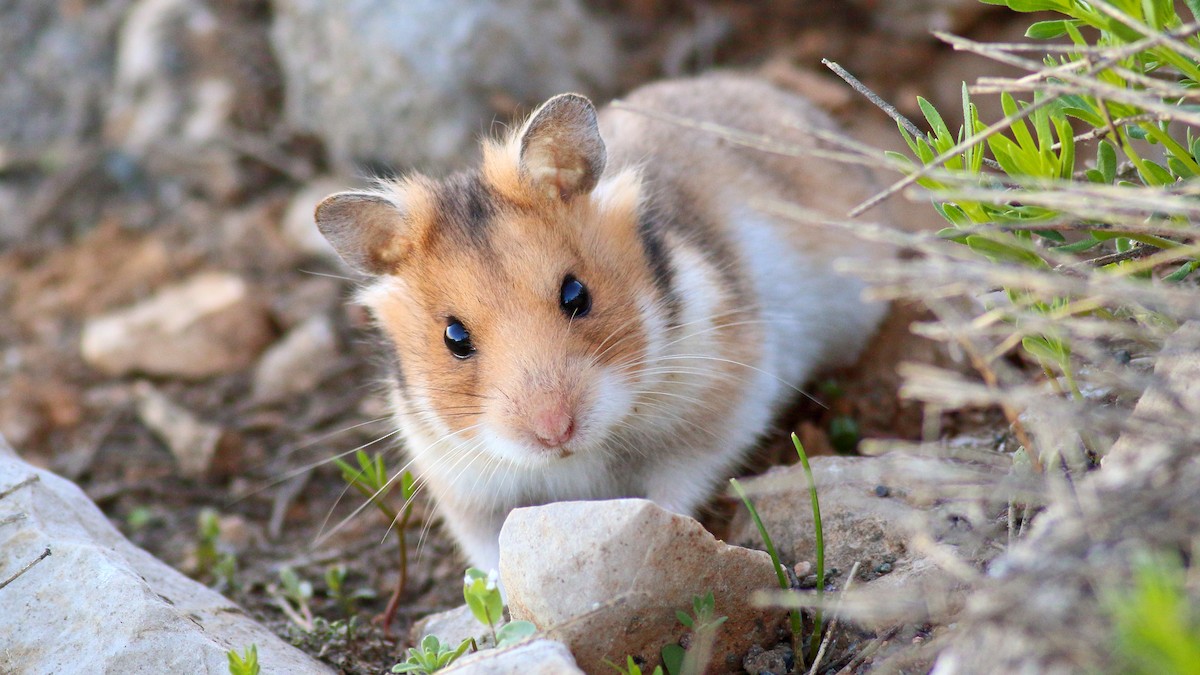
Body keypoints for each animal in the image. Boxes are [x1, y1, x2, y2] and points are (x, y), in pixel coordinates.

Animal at [314, 73, 888, 574]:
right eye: (454, 338)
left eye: (576, 294)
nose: (554, 431)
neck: (579, 457)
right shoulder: (462, 486)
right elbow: (491, 554)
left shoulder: (721, 404)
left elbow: (677, 485)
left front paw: (655, 529)